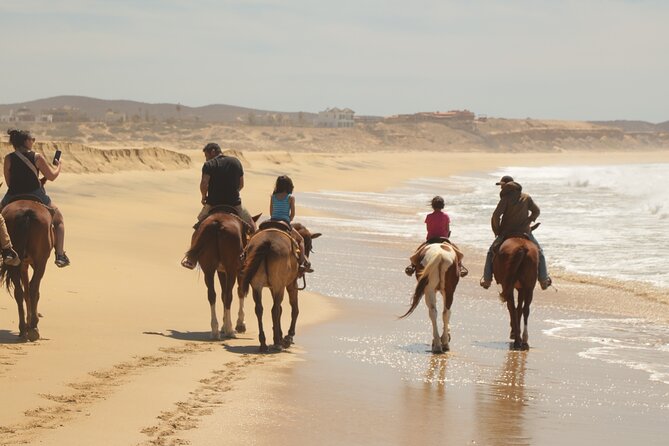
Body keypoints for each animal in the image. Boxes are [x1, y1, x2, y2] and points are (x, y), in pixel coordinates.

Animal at [0, 199, 54, 342]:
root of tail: (27, 213)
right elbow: (30, 291)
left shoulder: (23, 265)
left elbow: (25, 292)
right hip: (41, 261)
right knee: (33, 288)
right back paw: (33, 327)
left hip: (16, 261)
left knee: (19, 292)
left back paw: (24, 329)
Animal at [184, 211, 260, 340]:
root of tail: (217, 224)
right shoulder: (237, 271)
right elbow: (239, 292)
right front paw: (240, 324)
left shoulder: (221, 271)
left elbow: (222, 294)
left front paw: (224, 325)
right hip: (231, 269)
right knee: (229, 296)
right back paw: (229, 330)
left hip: (208, 269)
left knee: (212, 295)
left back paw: (215, 330)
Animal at [239, 223, 322, 352]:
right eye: (309, 246)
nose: (307, 264)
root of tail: (268, 242)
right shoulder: (290, 285)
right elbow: (294, 309)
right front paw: (288, 336)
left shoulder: (273, 287)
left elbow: (281, 309)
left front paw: (279, 334)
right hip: (279, 285)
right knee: (274, 309)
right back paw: (277, 343)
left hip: (257, 286)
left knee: (259, 309)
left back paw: (263, 343)